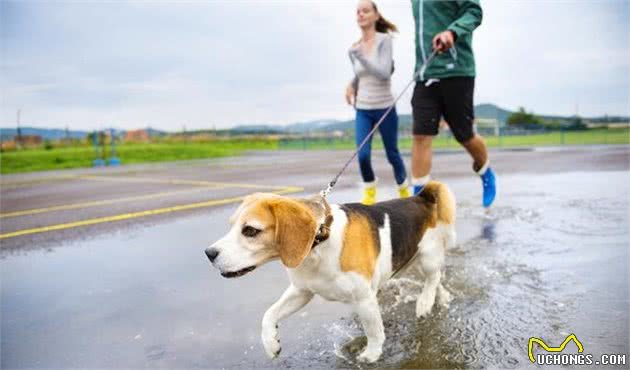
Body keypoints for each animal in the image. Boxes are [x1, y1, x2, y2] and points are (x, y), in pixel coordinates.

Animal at [207, 181, 460, 362]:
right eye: (232, 225)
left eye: (250, 230)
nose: (209, 253)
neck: (320, 241)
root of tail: (421, 197)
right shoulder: (301, 291)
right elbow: (269, 315)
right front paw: (271, 343)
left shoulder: (364, 299)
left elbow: (374, 331)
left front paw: (371, 355)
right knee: (436, 279)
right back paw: (441, 298)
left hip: (426, 258)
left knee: (433, 277)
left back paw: (425, 302)